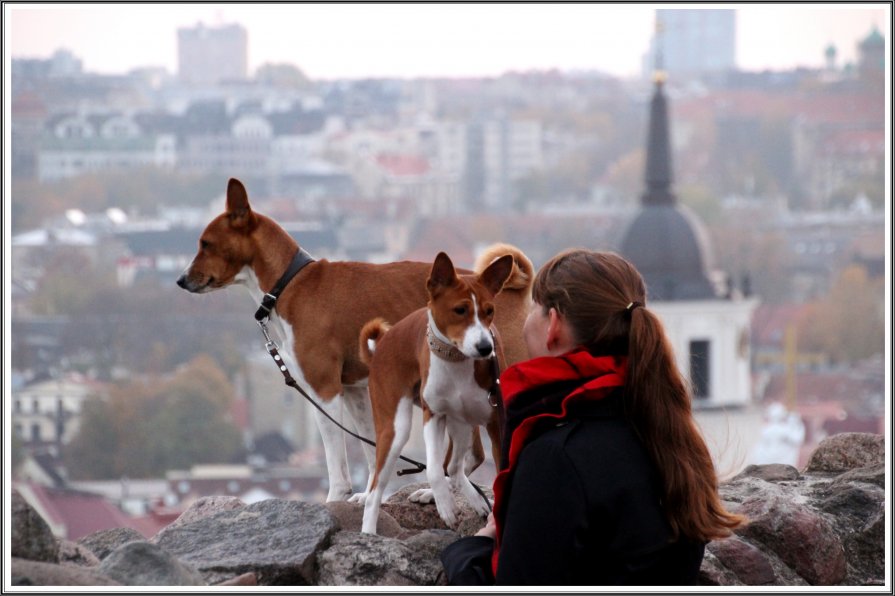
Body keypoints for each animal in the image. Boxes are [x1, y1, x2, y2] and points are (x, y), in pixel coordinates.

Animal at [178, 178, 536, 502]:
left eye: (206, 243)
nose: (181, 280)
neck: (291, 283)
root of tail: (512, 292)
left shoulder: (324, 390)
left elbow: (336, 459)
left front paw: (335, 500)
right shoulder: (356, 392)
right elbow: (370, 448)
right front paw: (368, 497)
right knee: (472, 453)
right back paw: (435, 493)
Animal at [356, 249, 516, 532]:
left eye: (489, 311)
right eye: (460, 310)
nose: (486, 347)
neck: (457, 362)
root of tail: (382, 343)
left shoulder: (497, 422)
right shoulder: (434, 415)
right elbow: (432, 468)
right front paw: (446, 507)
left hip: (462, 423)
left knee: (456, 465)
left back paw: (474, 499)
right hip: (396, 429)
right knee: (376, 490)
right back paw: (368, 533)